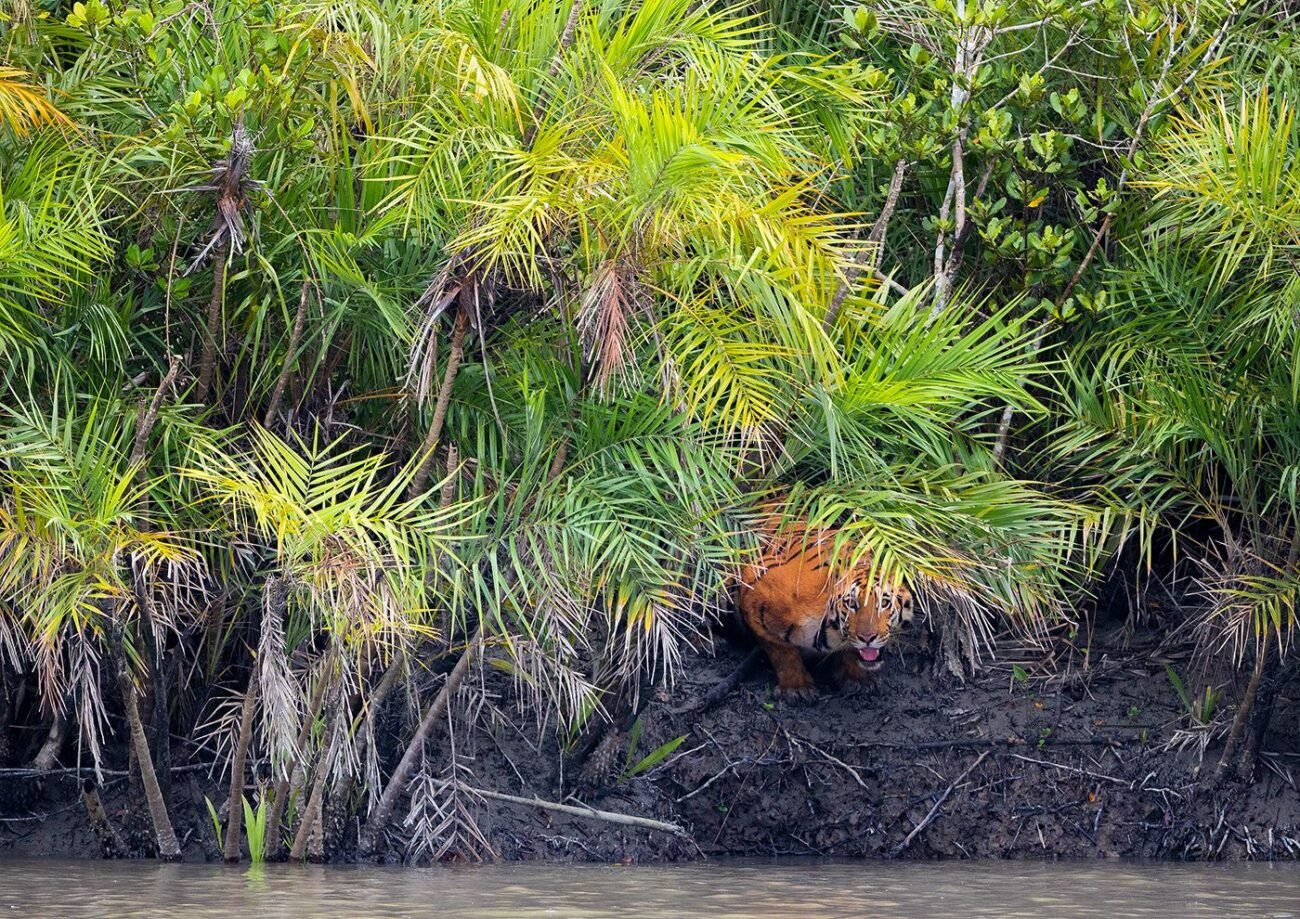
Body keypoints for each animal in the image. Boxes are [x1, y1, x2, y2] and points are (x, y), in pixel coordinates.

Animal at [736, 522, 914, 700]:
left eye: (884, 602)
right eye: (851, 604)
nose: (867, 638)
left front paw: (858, 678)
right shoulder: (754, 595)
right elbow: (782, 652)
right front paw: (796, 687)